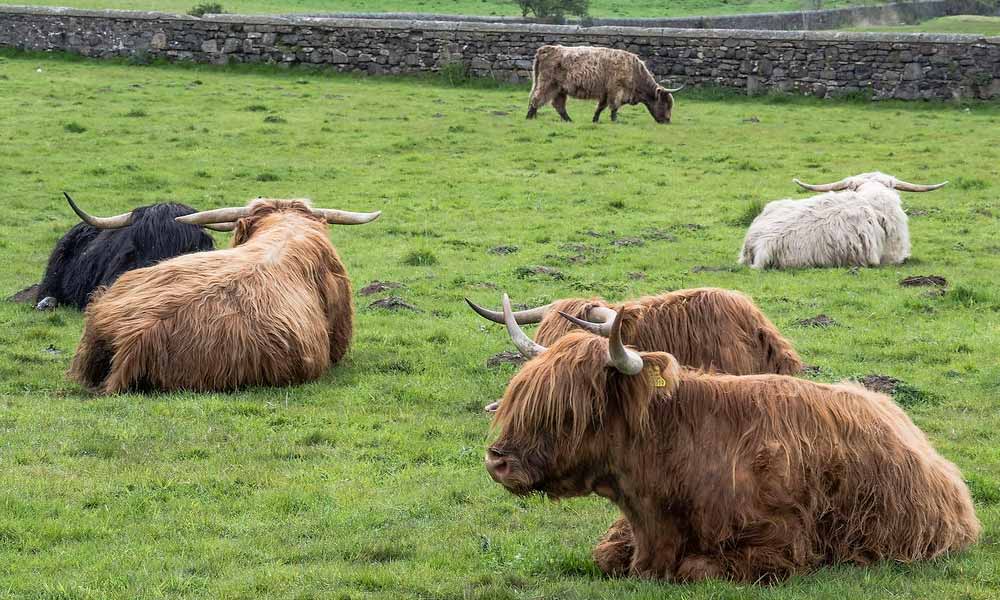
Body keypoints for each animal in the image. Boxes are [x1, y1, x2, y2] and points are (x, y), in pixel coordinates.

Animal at [526, 45, 683, 124]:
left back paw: (569, 120)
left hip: (559, 89)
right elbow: (614, 107)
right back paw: (529, 117)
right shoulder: (616, 90)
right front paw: (615, 121)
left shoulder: (605, 92)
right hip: (547, 83)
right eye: (665, 104)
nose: (668, 121)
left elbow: (600, 107)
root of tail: (546, 49)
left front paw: (595, 120)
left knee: (558, 105)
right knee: (536, 99)